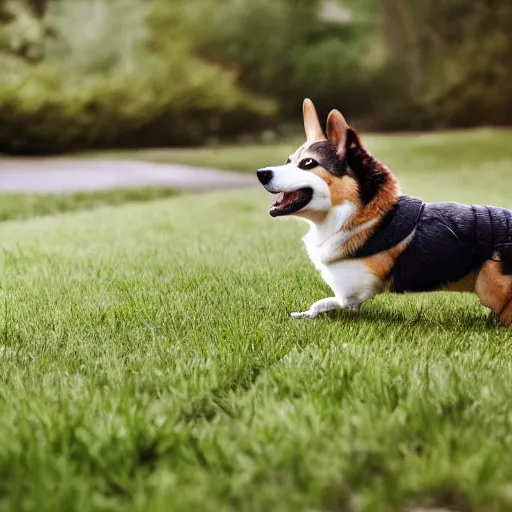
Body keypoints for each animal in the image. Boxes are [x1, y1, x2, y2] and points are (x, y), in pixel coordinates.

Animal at [258, 98, 512, 326]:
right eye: (289, 160)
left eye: (308, 163)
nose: (261, 173)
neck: (358, 214)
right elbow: (320, 306)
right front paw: (302, 314)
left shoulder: (351, 293)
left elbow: (323, 303)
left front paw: (304, 315)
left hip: (490, 288)